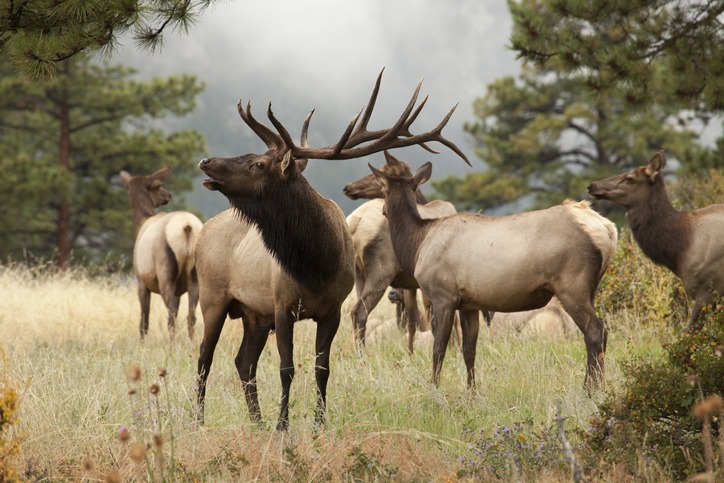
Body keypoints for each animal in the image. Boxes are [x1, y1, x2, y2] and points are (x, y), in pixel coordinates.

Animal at [119, 166, 204, 340]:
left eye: (157, 185)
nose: (168, 195)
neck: (141, 223)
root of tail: (187, 227)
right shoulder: (179, 290)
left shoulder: (141, 281)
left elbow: (144, 322)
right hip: (195, 277)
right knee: (191, 316)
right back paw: (192, 344)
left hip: (165, 272)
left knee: (171, 317)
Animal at [194, 69, 470, 432]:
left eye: (257, 163)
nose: (205, 160)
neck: (316, 265)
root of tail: (202, 231)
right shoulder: (282, 306)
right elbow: (286, 368)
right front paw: (283, 426)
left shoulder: (331, 309)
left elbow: (321, 368)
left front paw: (318, 424)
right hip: (212, 297)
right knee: (204, 357)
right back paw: (198, 422)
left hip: (254, 315)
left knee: (243, 362)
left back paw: (256, 422)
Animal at [374, 161, 616, 396]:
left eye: (382, 190)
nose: (383, 210)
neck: (417, 246)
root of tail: (608, 230)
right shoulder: (468, 304)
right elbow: (469, 350)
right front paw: (471, 393)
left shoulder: (443, 296)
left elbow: (439, 348)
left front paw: (433, 391)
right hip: (591, 287)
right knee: (598, 333)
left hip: (571, 285)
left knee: (595, 331)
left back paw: (591, 391)